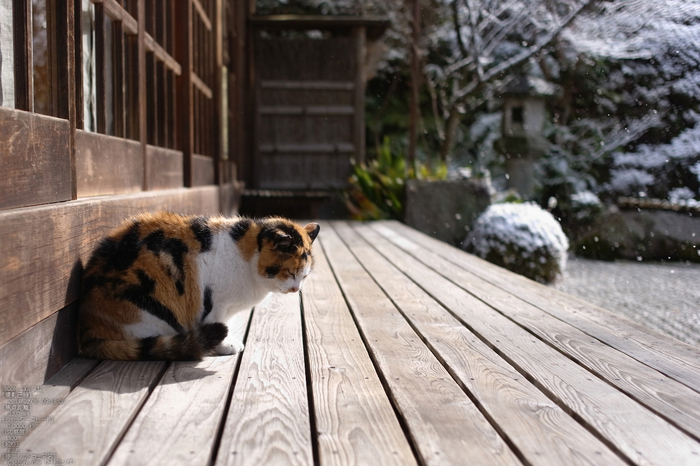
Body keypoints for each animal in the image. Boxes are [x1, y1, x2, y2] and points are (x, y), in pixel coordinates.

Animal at [78, 213, 318, 362]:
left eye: (305, 275)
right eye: (291, 273)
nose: (296, 289)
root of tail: (87, 330)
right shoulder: (218, 303)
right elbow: (219, 322)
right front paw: (225, 345)